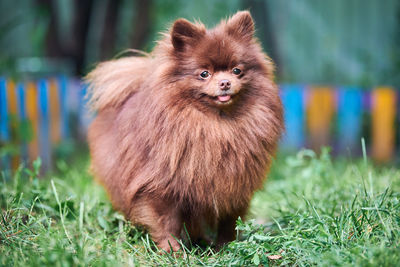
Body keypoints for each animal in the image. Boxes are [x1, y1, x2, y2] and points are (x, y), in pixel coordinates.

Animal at [86, 11, 282, 253]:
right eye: (204, 74)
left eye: (237, 70)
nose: (225, 82)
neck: (218, 125)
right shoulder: (161, 186)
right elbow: (167, 221)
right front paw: (173, 252)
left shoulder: (235, 184)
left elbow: (230, 221)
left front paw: (226, 247)